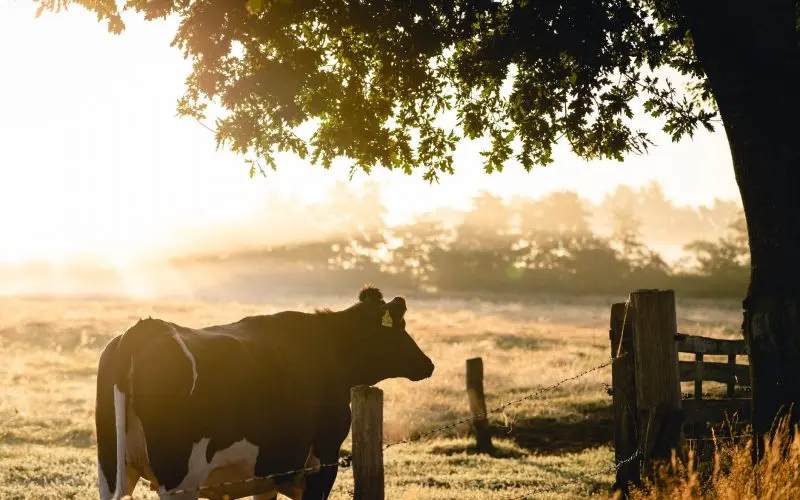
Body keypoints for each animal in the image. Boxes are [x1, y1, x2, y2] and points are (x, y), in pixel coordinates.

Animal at [96, 286, 434, 500]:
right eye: (399, 326)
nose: (427, 364)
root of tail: (145, 328)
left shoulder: (268, 472)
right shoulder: (323, 461)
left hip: (110, 471)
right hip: (180, 481)